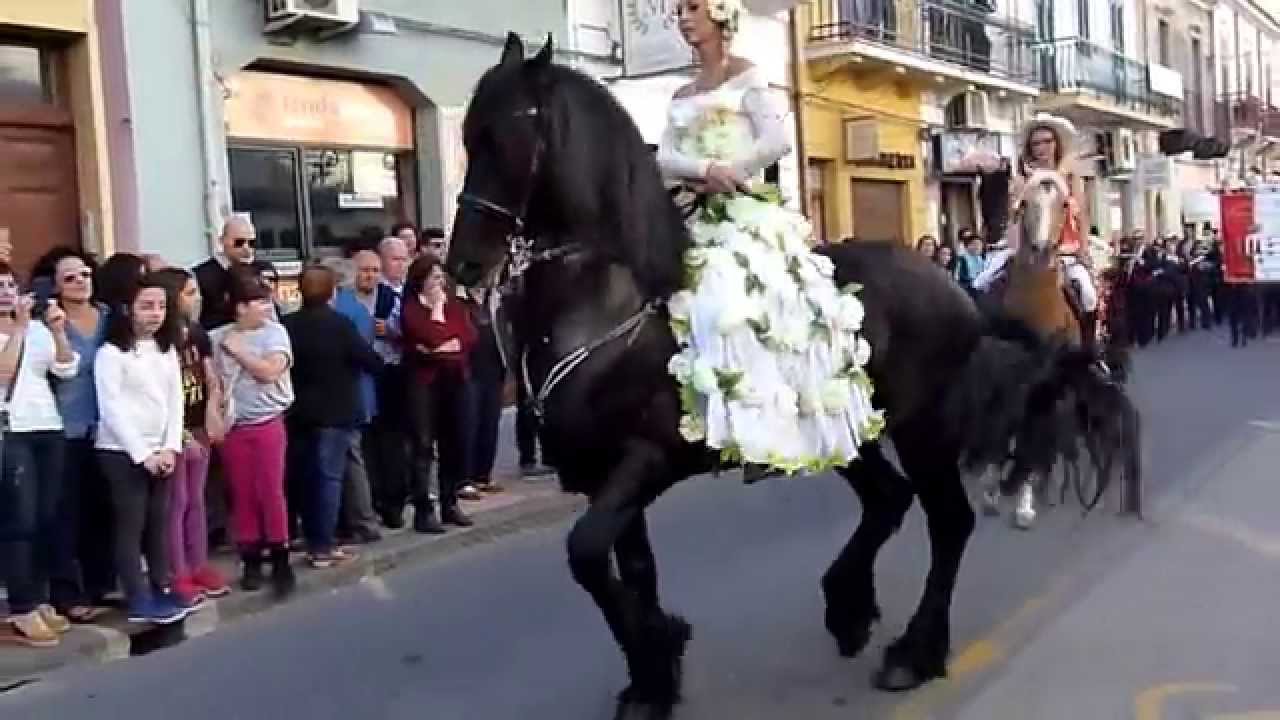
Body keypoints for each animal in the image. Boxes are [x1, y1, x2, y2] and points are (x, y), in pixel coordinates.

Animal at [445, 33, 1136, 717]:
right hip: (849, 429)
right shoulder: (603, 472)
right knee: (889, 499)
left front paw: (657, 656)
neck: (609, 302)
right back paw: (849, 608)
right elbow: (627, 570)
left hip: (923, 428)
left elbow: (587, 556)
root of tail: (959, 292)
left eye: (506, 137)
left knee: (947, 521)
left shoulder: (647, 460)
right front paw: (654, 672)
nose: (463, 266)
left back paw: (913, 652)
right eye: (469, 137)